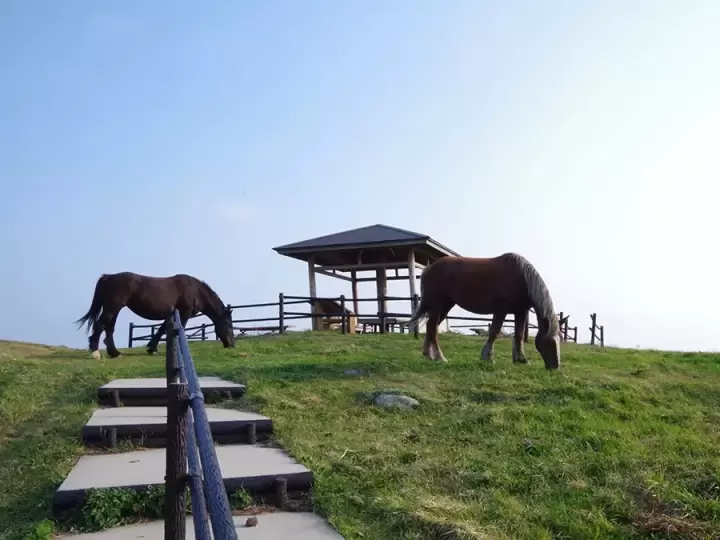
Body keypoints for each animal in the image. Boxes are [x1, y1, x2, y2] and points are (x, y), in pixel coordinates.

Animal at [75, 272, 235, 359]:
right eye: (228, 324)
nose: (232, 345)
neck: (194, 290)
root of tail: (107, 277)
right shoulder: (184, 313)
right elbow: (179, 329)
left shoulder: (170, 314)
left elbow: (161, 330)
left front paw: (151, 348)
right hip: (112, 308)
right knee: (100, 326)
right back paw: (95, 353)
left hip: (114, 309)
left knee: (109, 329)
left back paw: (114, 353)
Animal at [405, 252, 561, 369]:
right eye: (551, 342)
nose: (555, 367)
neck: (522, 278)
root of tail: (428, 268)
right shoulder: (501, 310)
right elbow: (494, 332)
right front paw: (487, 357)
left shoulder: (520, 312)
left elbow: (519, 335)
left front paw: (520, 359)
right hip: (437, 305)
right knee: (432, 328)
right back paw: (439, 357)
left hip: (445, 305)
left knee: (431, 327)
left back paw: (428, 355)